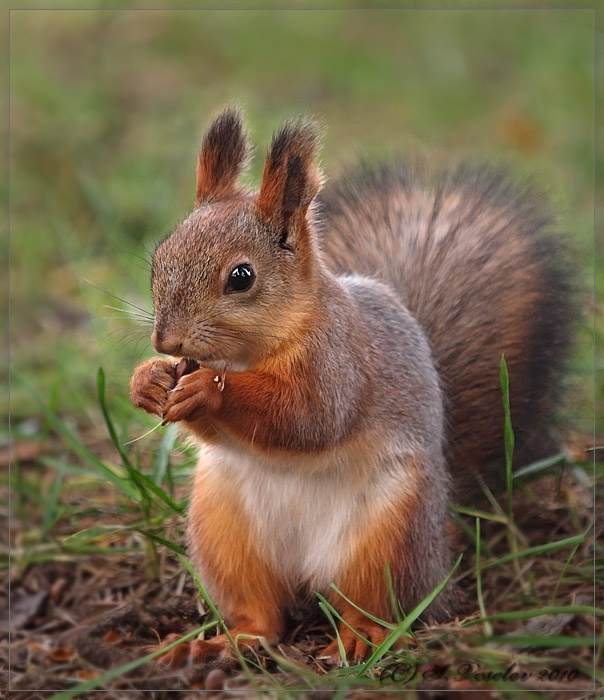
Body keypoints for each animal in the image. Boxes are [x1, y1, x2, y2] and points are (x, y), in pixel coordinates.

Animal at [130, 106, 572, 664]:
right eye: (159, 258)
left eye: (241, 277)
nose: (166, 340)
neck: (249, 356)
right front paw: (147, 381)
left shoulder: (338, 365)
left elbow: (306, 419)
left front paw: (208, 389)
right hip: (225, 534)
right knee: (264, 615)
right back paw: (226, 641)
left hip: (389, 536)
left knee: (378, 603)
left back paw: (361, 638)